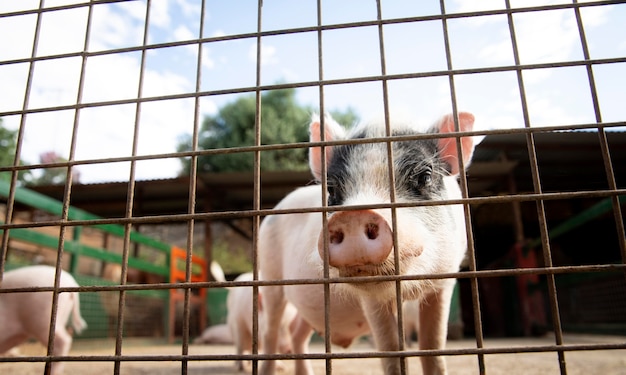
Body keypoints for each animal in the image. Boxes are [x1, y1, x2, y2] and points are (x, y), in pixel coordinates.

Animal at [258, 112, 472, 375]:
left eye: (425, 176)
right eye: (331, 188)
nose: (354, 216)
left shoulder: (444, 282)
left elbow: (433, 348)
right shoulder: (371, 300)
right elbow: (391, 349)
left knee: (297, 332)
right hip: (270, 276)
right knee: (271, 331)